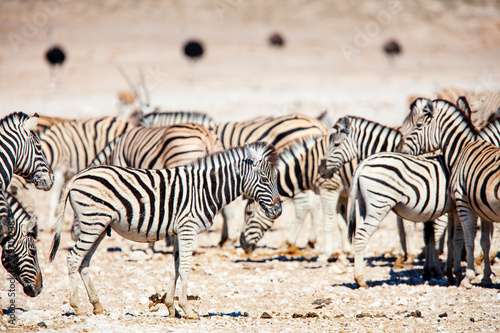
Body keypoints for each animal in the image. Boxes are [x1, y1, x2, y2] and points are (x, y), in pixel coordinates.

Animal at [48, 140, 284, 316]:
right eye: (265, 179)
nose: (279, 210)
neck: (206, 189)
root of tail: (78, 176)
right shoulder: (188, 228)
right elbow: (186, 268)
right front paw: (187, 309)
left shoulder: (179, 231)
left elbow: (175, 268)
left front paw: (171, 307)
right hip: (92, 222)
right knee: (73, 259)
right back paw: (78, 307)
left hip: (98, 225)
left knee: (84, 262)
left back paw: (97, 305)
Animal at [400, 98, 500, 288]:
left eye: (418, 125)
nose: (400, 150)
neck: (462, 149)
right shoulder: (482, 208)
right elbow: (484, 242)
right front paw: (485, 277)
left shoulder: (463, 203)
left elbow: (468, 241)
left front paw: (468, 277)